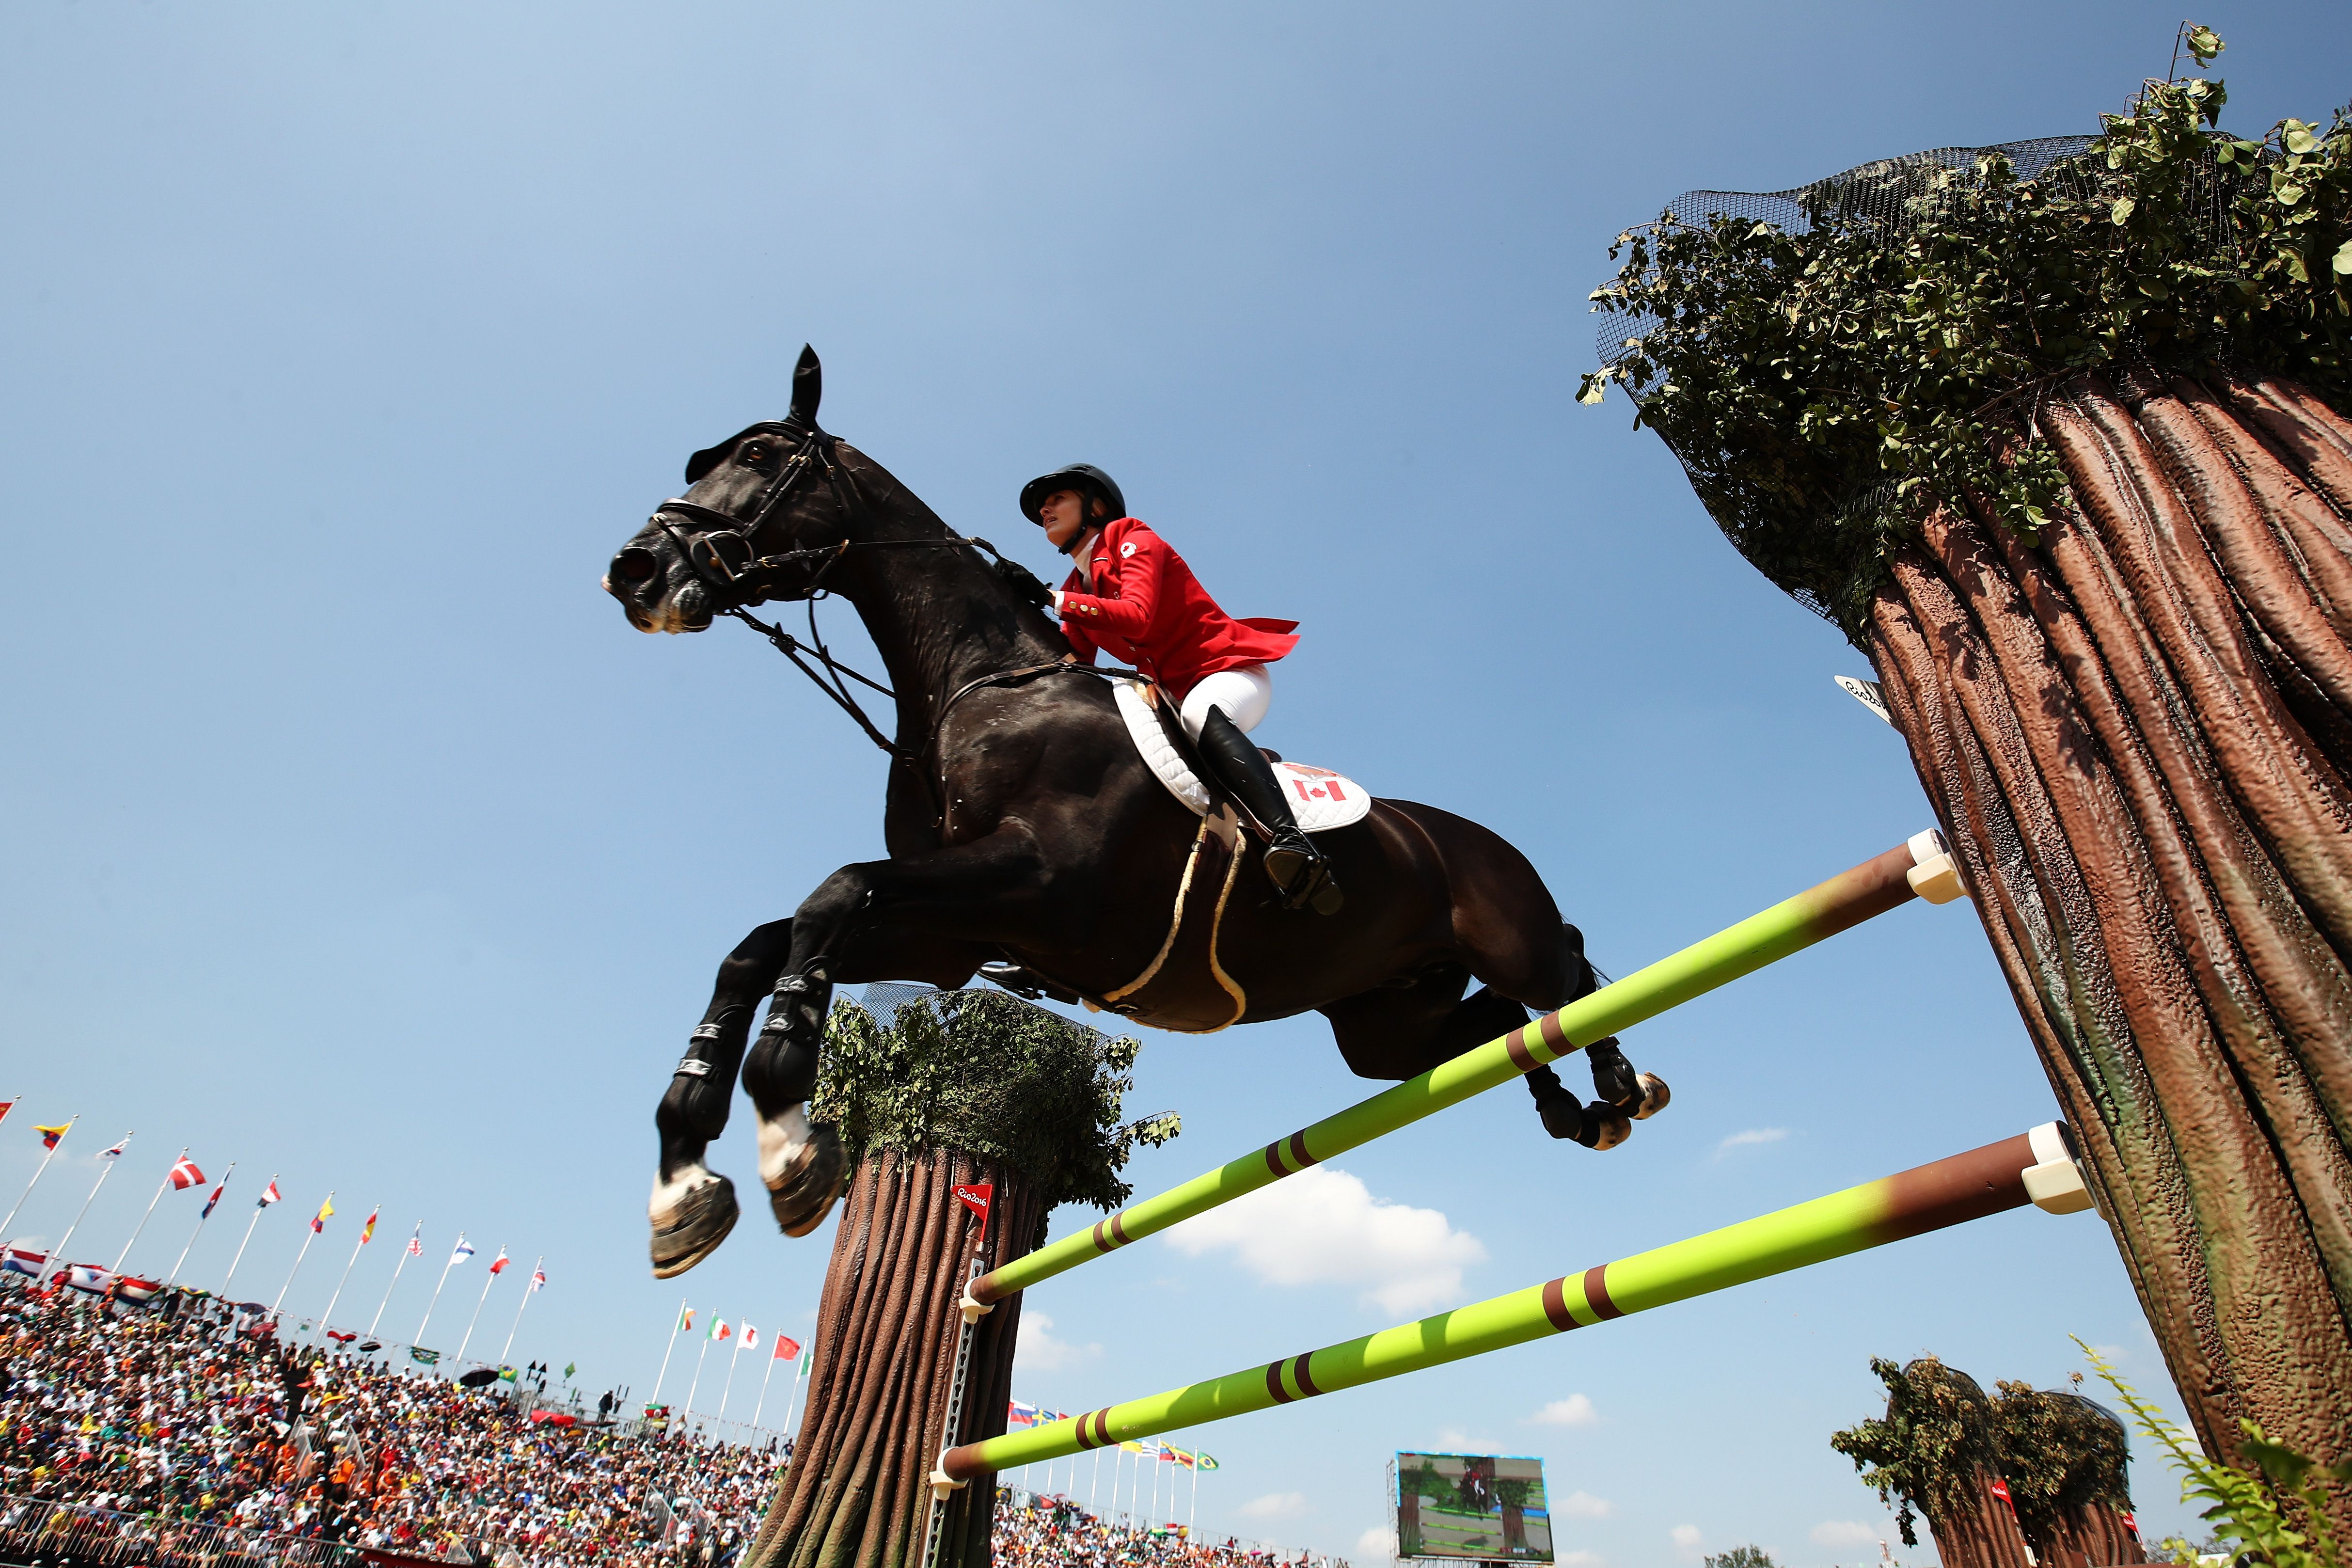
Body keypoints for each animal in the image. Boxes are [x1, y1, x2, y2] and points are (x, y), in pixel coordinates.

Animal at [607, 352, 1674, 1279]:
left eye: (756, 456)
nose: (635, 571)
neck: (980, 690)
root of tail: (1470, 837)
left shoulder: (1035, 882)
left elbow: (830, 894)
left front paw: (788, 1128)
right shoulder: (951, 933)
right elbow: (765, 943)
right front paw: (685, 1182)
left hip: (1503, 934)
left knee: (1565, 968)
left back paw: (1619, 1087)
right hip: (1381, 1024)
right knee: (1492, 1020)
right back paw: (1567, 1106)